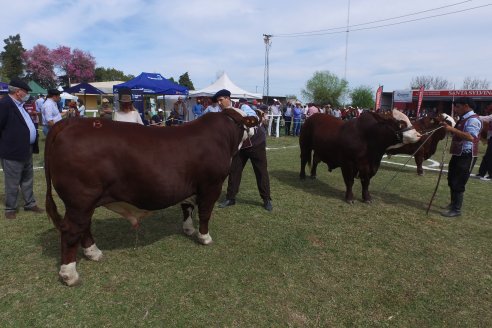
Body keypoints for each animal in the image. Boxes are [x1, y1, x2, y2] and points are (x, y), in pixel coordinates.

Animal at [46, 109, 260, 286]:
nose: (258, 126)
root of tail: (71, 122)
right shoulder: (211, 185)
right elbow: (205, 213)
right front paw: (204, 237)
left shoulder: (187, 186)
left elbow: (187, 207)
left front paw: (188, 229)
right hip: (81, 198)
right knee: (71, 230)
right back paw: (69, 274)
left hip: (84, 202)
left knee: (84, 226)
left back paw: (93, 252)